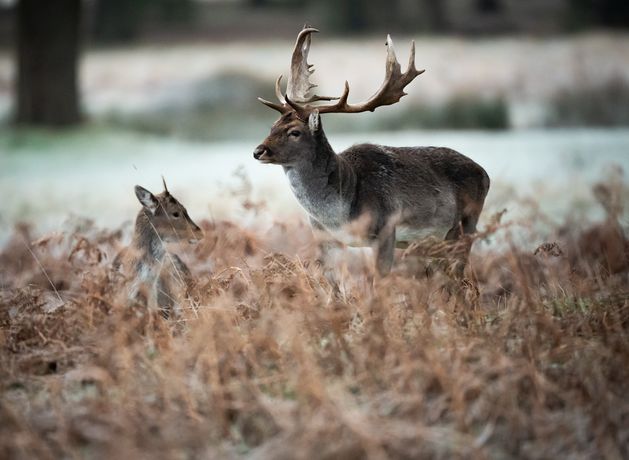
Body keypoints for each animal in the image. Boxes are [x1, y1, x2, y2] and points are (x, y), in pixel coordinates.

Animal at [253, 28, 488, 276]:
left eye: (295, 132)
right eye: (272, 126)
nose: (258, 151)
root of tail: (484, 173)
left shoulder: (385, 228)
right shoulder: (324, 237)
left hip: (466, 224)